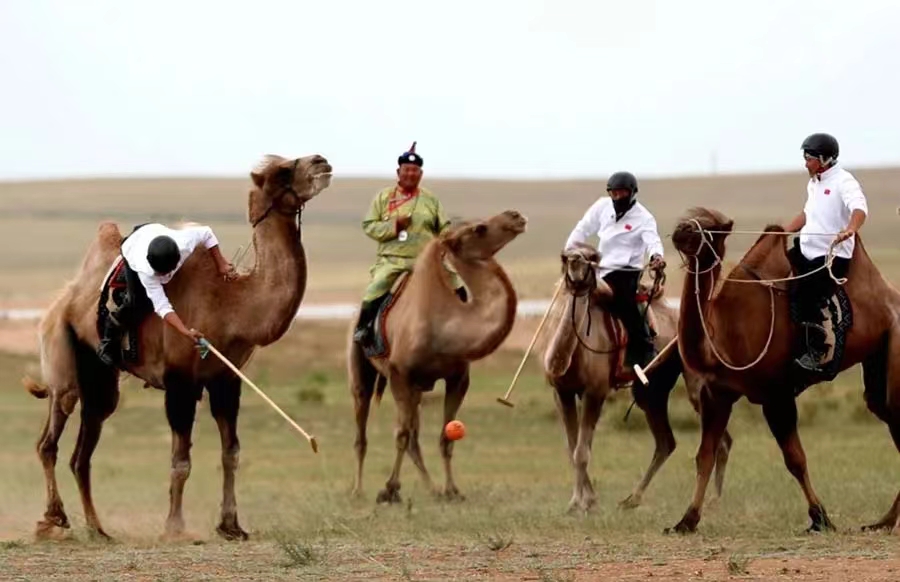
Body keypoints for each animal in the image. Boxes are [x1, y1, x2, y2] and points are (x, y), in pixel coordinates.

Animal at [23, 154, 334, 544]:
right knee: (50, 437)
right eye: (283, 171)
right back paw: (54, 519)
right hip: (61, 355)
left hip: (101, 379)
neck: (232, 305)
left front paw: (231, 526)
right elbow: (181, 460)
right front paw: (175, 527)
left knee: (83, 452)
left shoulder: (226, 378)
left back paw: (98, 529)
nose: (321, 161)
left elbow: (231, 452)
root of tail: (60, 302)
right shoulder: (180, 381)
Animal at [344, 211, 528, 506]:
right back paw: (358, 490)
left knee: (414, 438)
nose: (515, 216)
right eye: (479, 228)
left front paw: (452, 490)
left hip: (418, 389)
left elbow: (445, 436)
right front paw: (389, 490)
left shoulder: (458, 378)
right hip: (362, 374)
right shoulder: (399, 375)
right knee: (363, 432)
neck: (446, 325)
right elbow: (401, 434)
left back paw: (432, 489)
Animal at [540, 246, 732, 516]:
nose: (577, 265)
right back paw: (632, 499)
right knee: (666, 441)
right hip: (650, 391)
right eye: (566, 257)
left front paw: (580, 504)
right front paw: (587, 501)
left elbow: (581, 452)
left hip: (693, 380)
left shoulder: (595, 391)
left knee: (719, 438)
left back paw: (713, 502)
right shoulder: (561, 392)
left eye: (592, 258)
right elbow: (572, 447)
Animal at [664, 208, 900, 536]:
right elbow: (704, 456)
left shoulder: (776, 395)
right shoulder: (717, 393)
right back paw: (883, 521)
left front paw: (820, 519)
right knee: (886, 411)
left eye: (711, 227)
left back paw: (884, 521)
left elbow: (795, 459)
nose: (682, 230)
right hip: (878, 362)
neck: (725, 332)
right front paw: (686, 521)